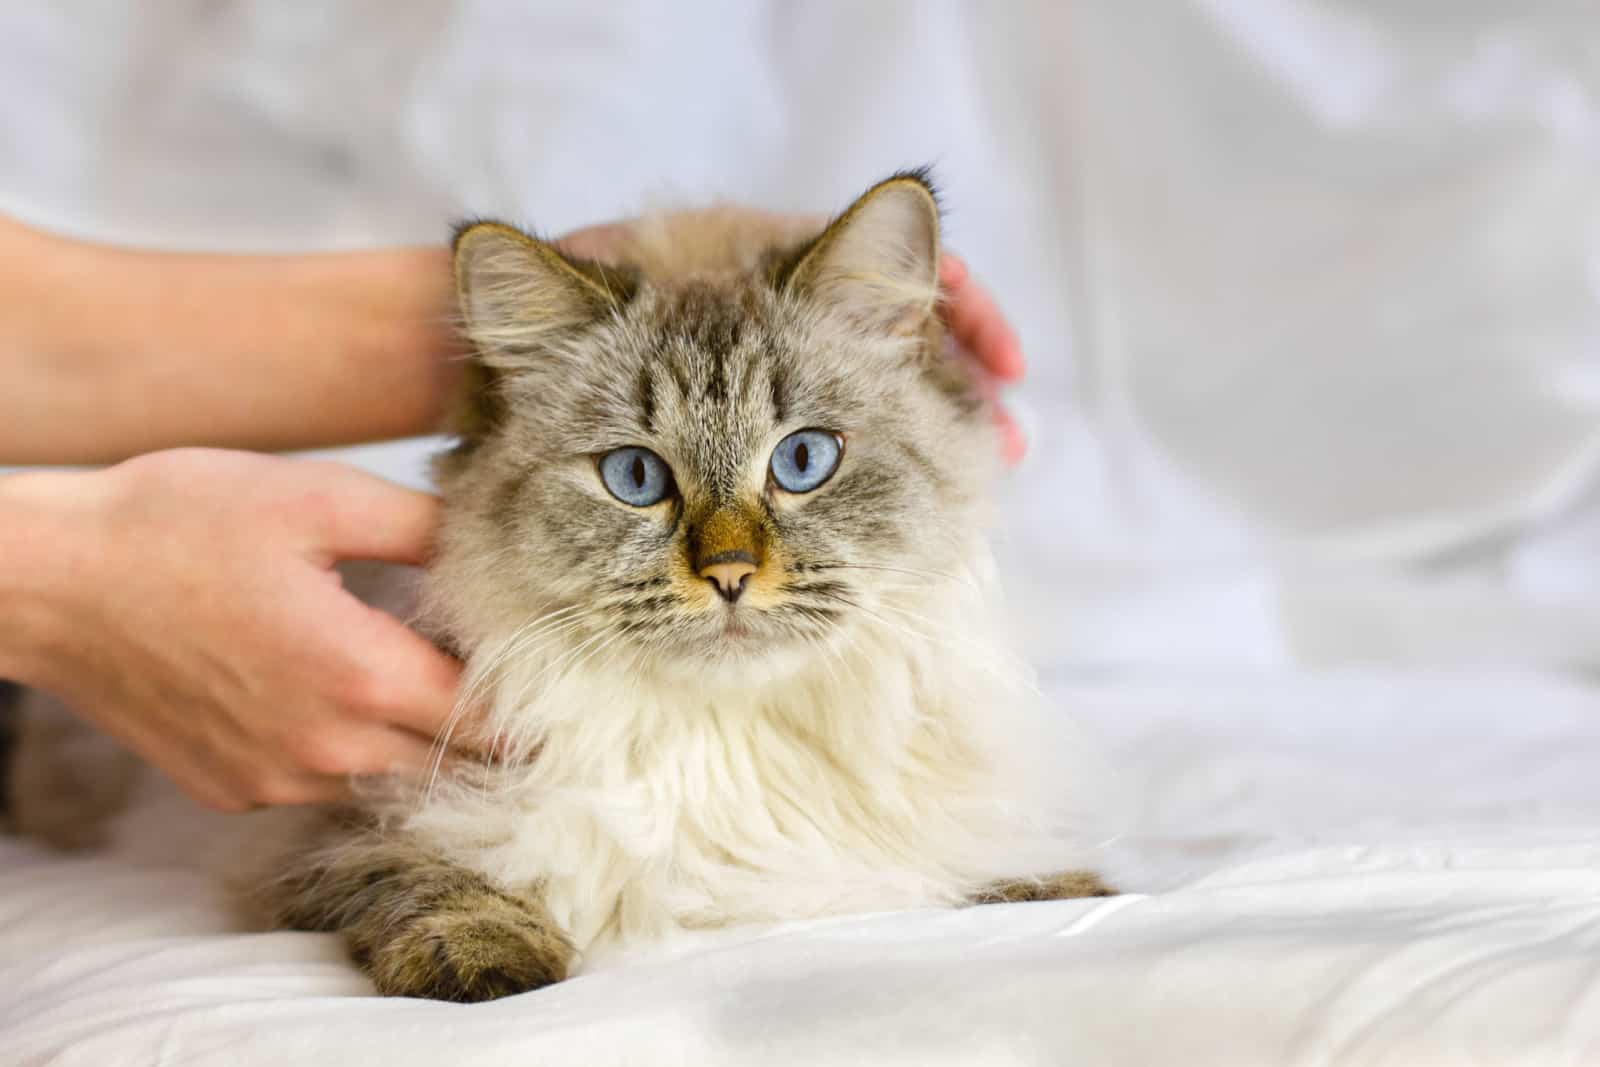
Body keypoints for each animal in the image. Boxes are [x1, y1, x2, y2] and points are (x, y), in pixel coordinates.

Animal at [9, 173, 1113, 1004]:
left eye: (803, 460)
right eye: (636, 477)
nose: (728, 574)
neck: (725, 742)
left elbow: (970, 864)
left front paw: (1060, 890)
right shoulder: (326, 833)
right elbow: (429, 877)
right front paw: (486, 958)